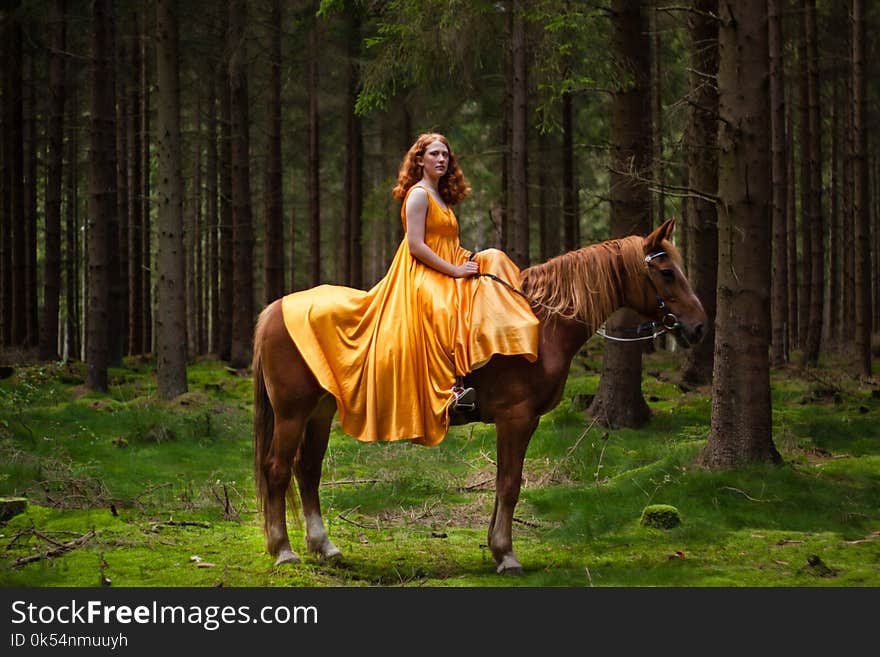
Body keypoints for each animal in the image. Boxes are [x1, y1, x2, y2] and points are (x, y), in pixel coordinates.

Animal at [251, 218, 704, 572]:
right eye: (667, 273)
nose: (699, 327)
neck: (540, 322)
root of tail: (275, 310)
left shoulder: (524, 421)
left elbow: (506, 481)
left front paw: (496, 548)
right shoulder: (516, 418)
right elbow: (510, 484)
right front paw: (506, 555)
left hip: (320, 413)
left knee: (307, 471)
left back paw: (324, 547)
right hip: (292, 413)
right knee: (277, 469)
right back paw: (283, 551)